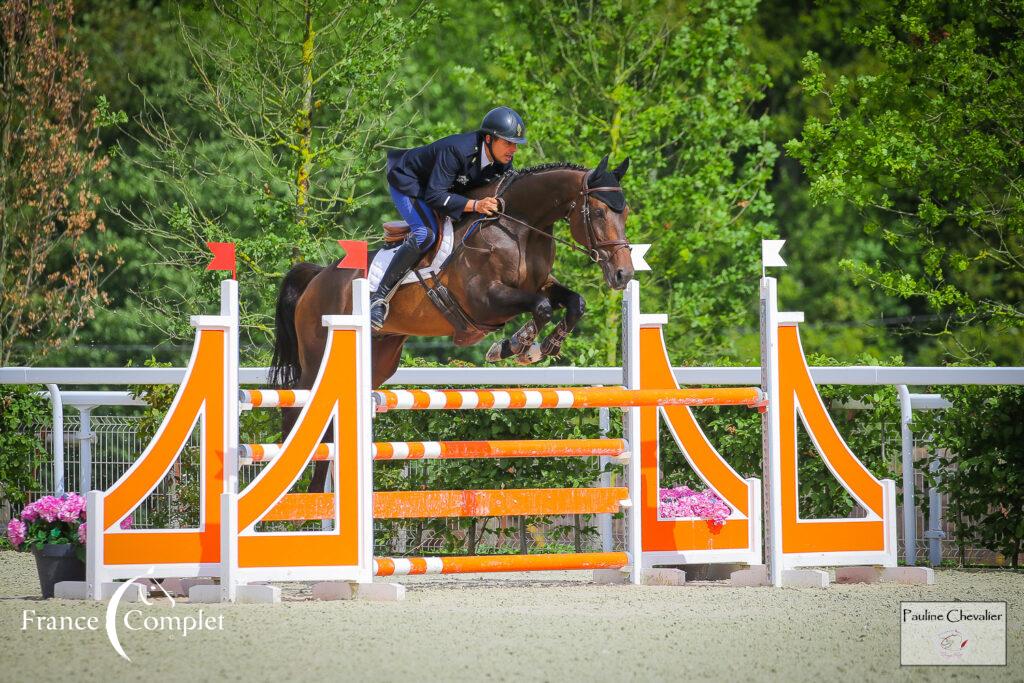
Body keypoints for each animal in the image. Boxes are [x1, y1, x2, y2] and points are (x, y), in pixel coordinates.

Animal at [268, 154, 630, 491]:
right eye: (600, 213)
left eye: (625, 212)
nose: (623, 274)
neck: (519, 229)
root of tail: (318, 277)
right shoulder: (484, 301)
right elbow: (540, 308)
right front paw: (514, 345)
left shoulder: (541, 285)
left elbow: (574, 303)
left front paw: (542, 347)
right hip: (318, 355)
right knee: (297, 406)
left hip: (379, 357)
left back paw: (316, 496)